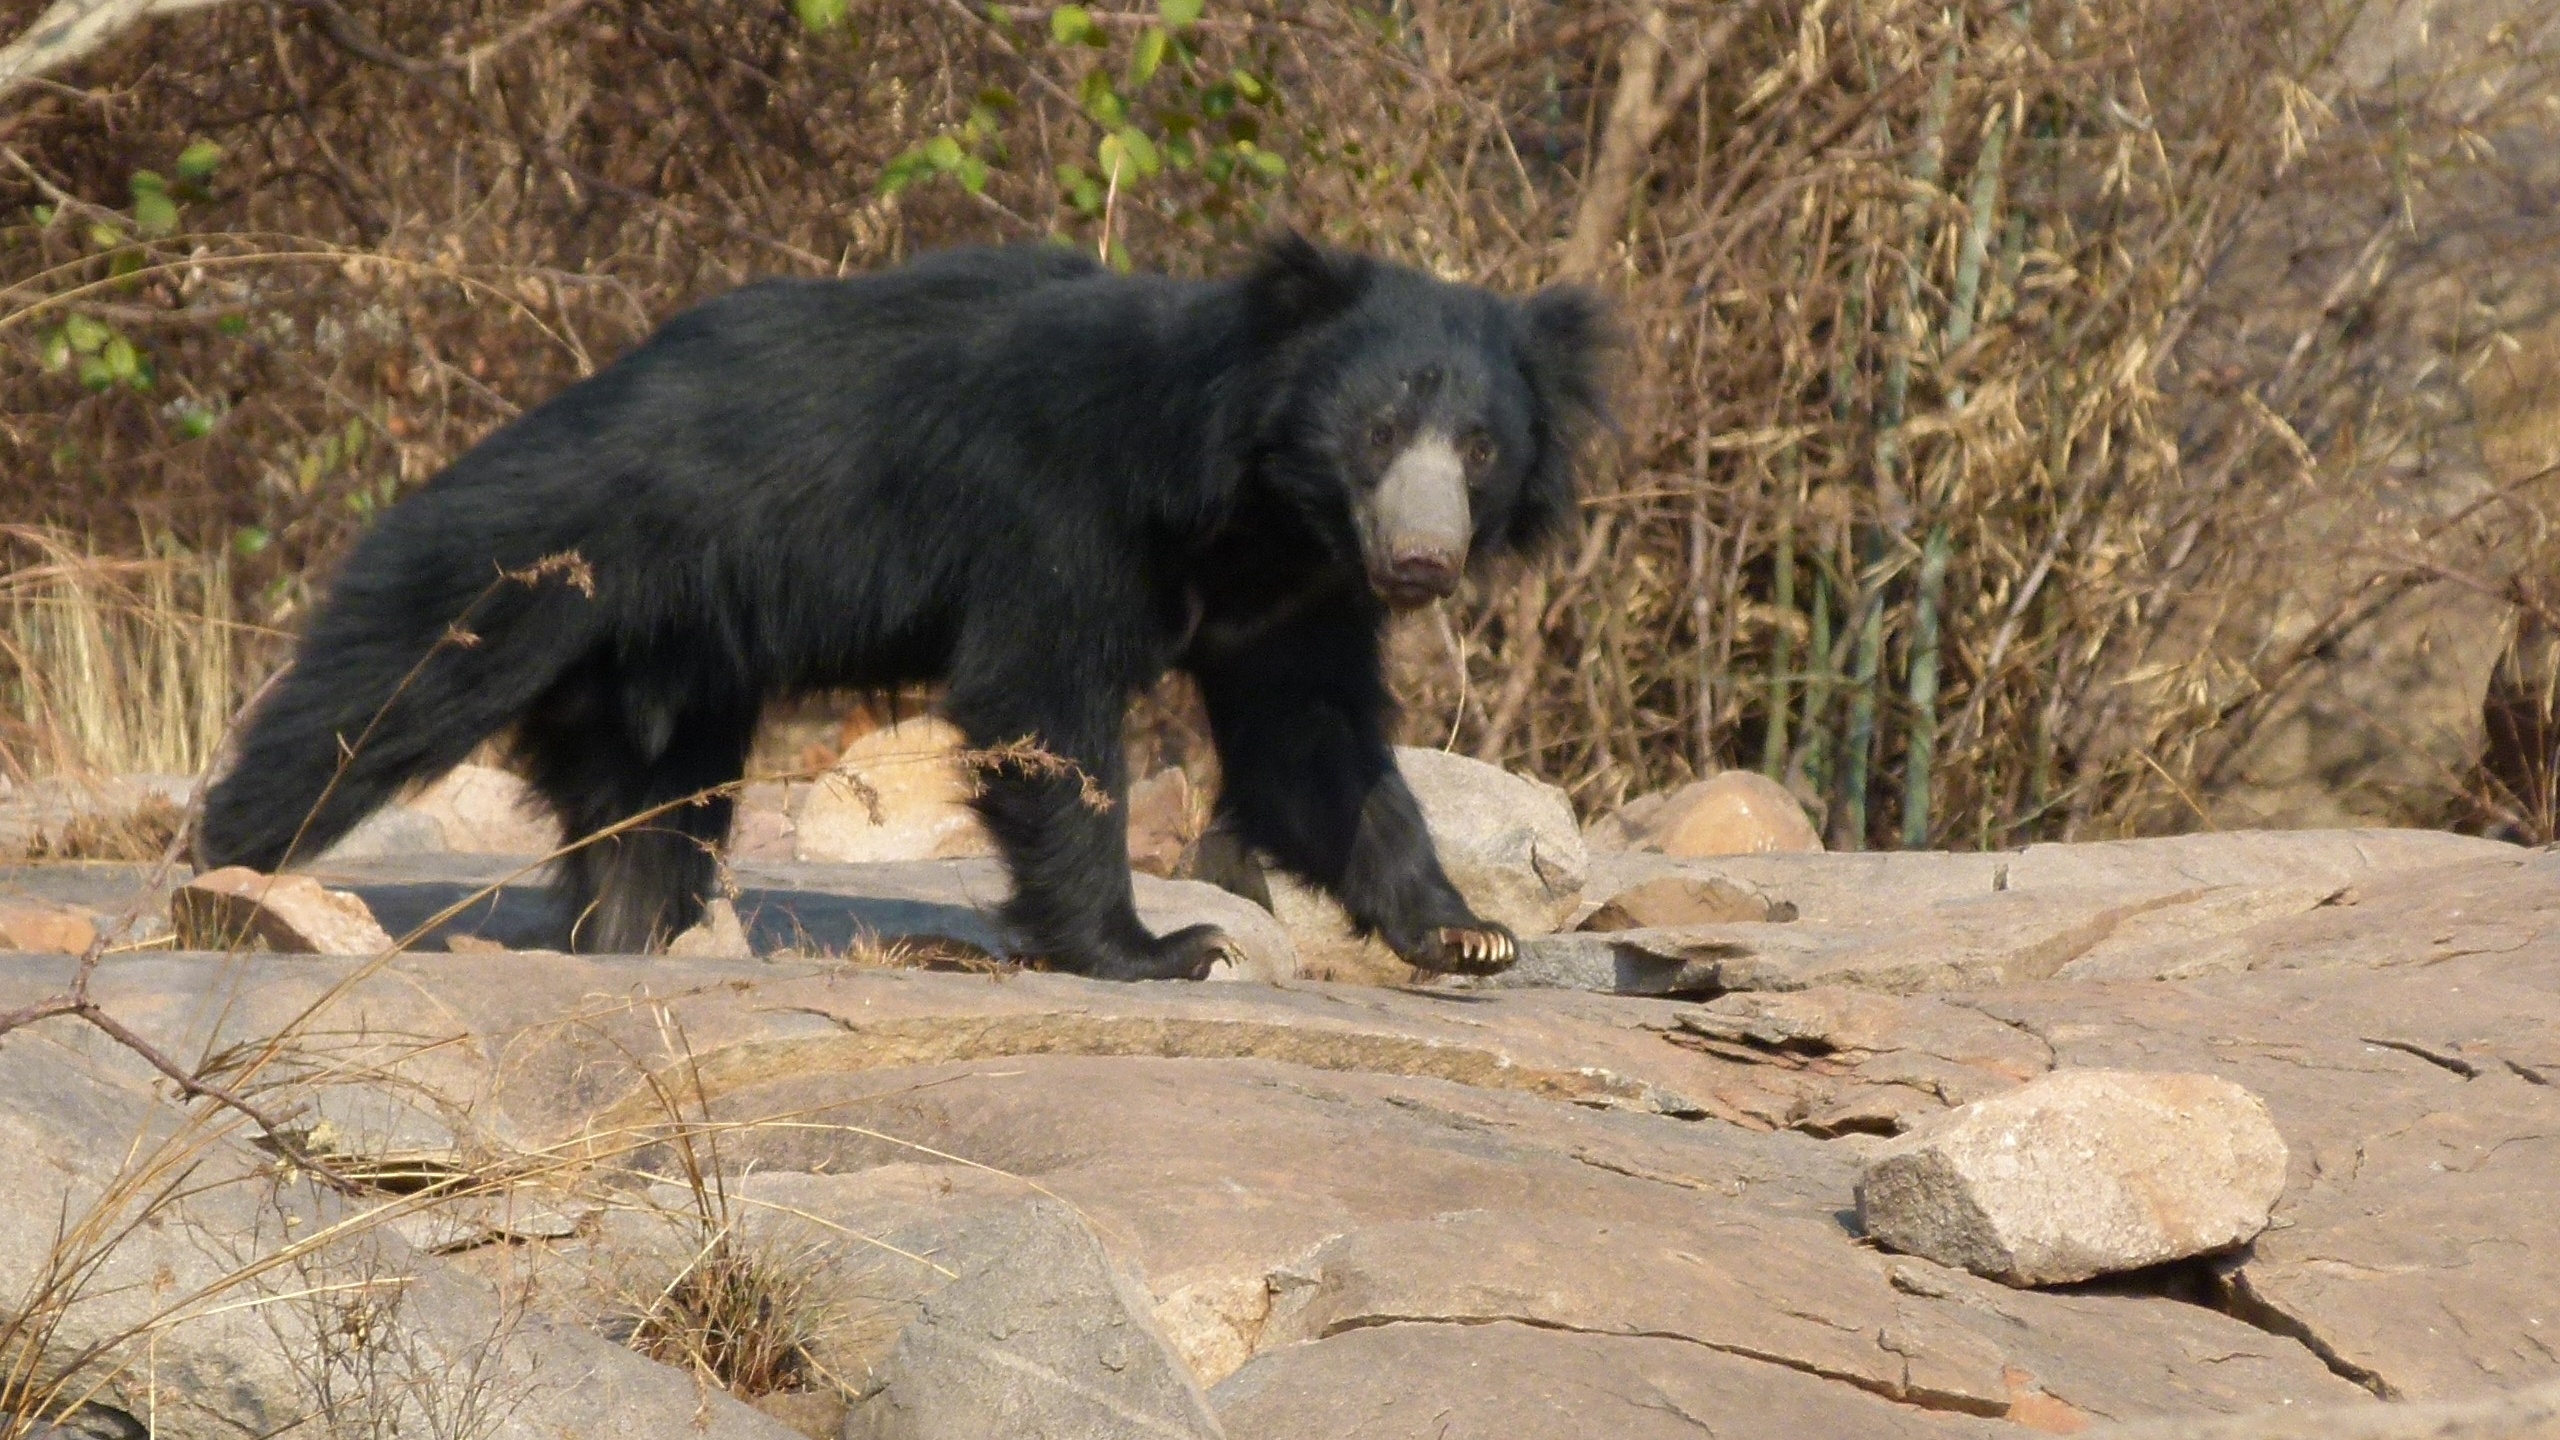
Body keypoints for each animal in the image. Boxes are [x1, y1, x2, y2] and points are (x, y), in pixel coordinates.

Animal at [196, 233, 1609, 980]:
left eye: (1480, 448)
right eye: (1374, 433)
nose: (1420, 561)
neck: (1251, 501)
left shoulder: (1291, 595)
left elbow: (1311, 743)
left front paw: (1466, 934)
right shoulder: (1064, 507)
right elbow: (1043, 703)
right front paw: (1162, 946)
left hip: (669, 656)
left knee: (650, 798)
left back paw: (635, 932)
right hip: (524, 560)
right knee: (371, 702)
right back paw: (229, 867)